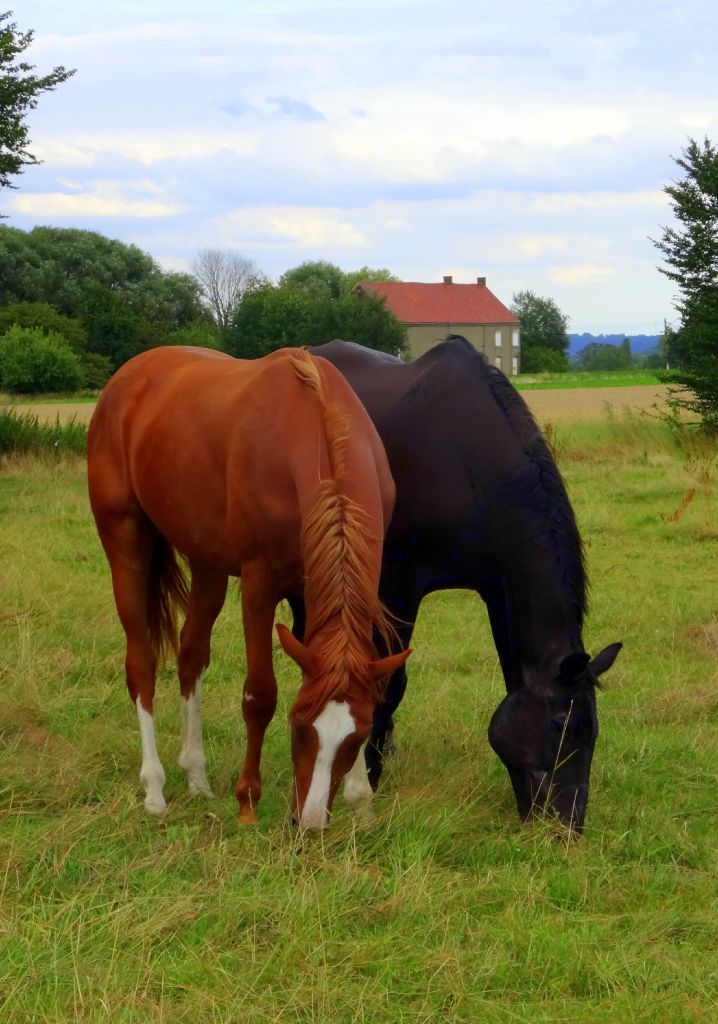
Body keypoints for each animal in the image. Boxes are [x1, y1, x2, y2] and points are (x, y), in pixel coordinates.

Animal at [87, 346, 409, 828]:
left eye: (356, 739)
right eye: (299, 728)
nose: (309, 822)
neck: (316, 426)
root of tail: (125, 379)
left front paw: (360, 798)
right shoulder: (261, 583)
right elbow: (260, 695)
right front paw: (248, 801)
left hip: (206, 561)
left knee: (190, 654)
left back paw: (197, 777)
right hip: (124, 538)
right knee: (141, 663)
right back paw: (155, 788)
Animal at [307, 336, 621, 832]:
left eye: (591, 732)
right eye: (560, 726)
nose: (566, 827)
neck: (464, 458)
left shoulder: (497, 587)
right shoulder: (398, 585)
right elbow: (389, 684)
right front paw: (369, 776)